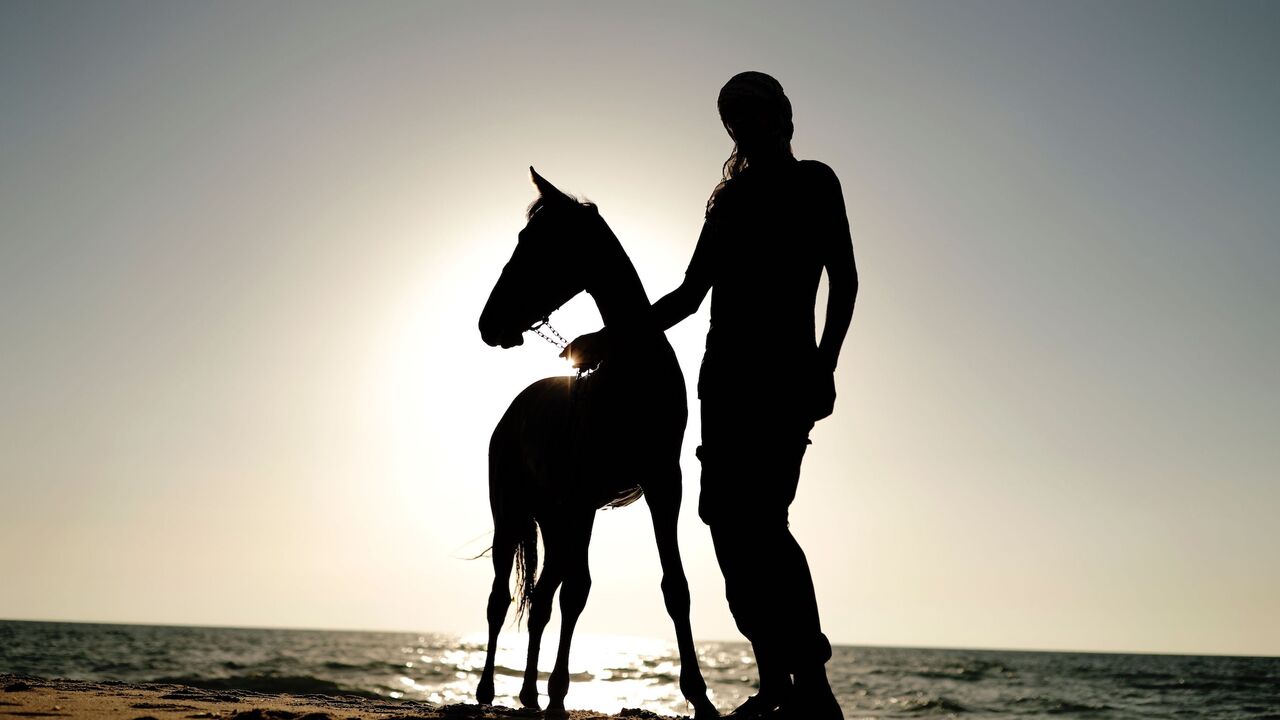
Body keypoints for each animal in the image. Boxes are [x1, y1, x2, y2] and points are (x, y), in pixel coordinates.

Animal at [475, 168, 718, 720]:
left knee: (541, 601)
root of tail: (510, 415)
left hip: (554, 518)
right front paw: (559, 693)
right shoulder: (586, 498)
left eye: (532, 243)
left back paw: (527, 694)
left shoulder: (663, 486)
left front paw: (700, 697)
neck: (633, 376)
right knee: (501, 599)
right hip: (513, 513)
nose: (487, 323)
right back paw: (487, 691)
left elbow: (674, 588)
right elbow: (576, 594)